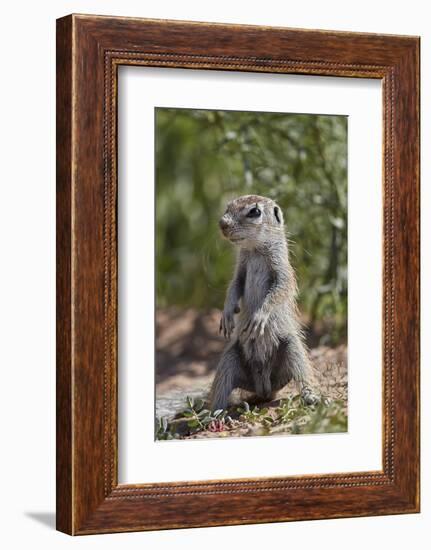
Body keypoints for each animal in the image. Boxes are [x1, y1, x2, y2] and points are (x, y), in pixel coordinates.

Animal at [210, 196, 320, 412]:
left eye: (254, 212)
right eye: (228, 206)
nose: (222, 224)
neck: (254, 251)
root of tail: (264, 388)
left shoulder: (282, 270)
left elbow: (279, 290)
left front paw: (259, 316)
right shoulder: (241, 269)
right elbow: (234, 286)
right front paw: (227, 313)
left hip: (291, 347)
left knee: (303, 371)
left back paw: (312, 397)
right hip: (230, 357)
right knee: (221, 386)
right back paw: (213, 412)